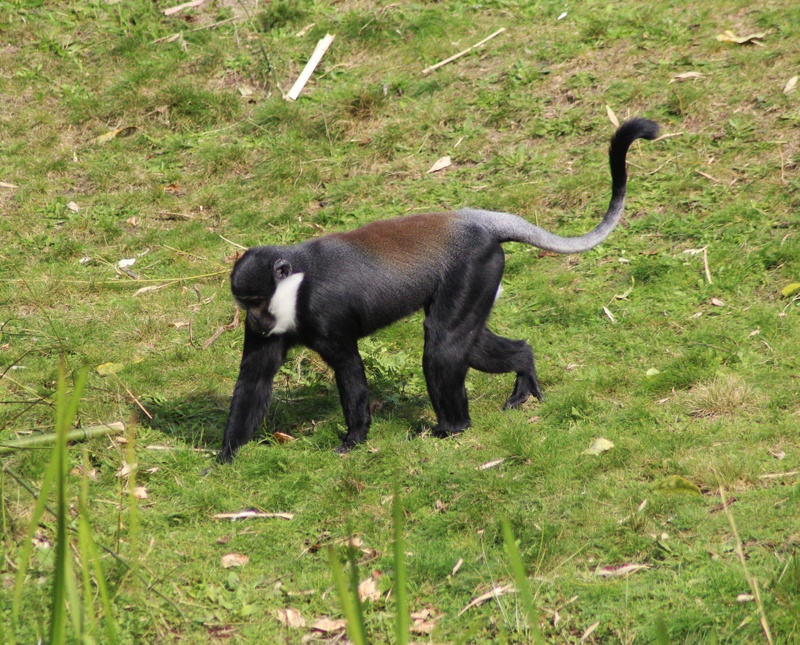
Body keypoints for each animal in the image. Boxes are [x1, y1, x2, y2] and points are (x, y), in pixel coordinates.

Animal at [218, 118, 659, 463]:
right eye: (246, 304)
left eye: (258, 301)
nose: (256, 320)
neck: (297, 286)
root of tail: (473, 221)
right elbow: (255, 379)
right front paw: (225, 455)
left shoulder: (328, 315)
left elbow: (350, 371)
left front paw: (354, 439)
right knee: (473, 343)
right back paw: (523, 366)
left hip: (475, 270)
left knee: (443, 343)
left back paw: (452, 427)